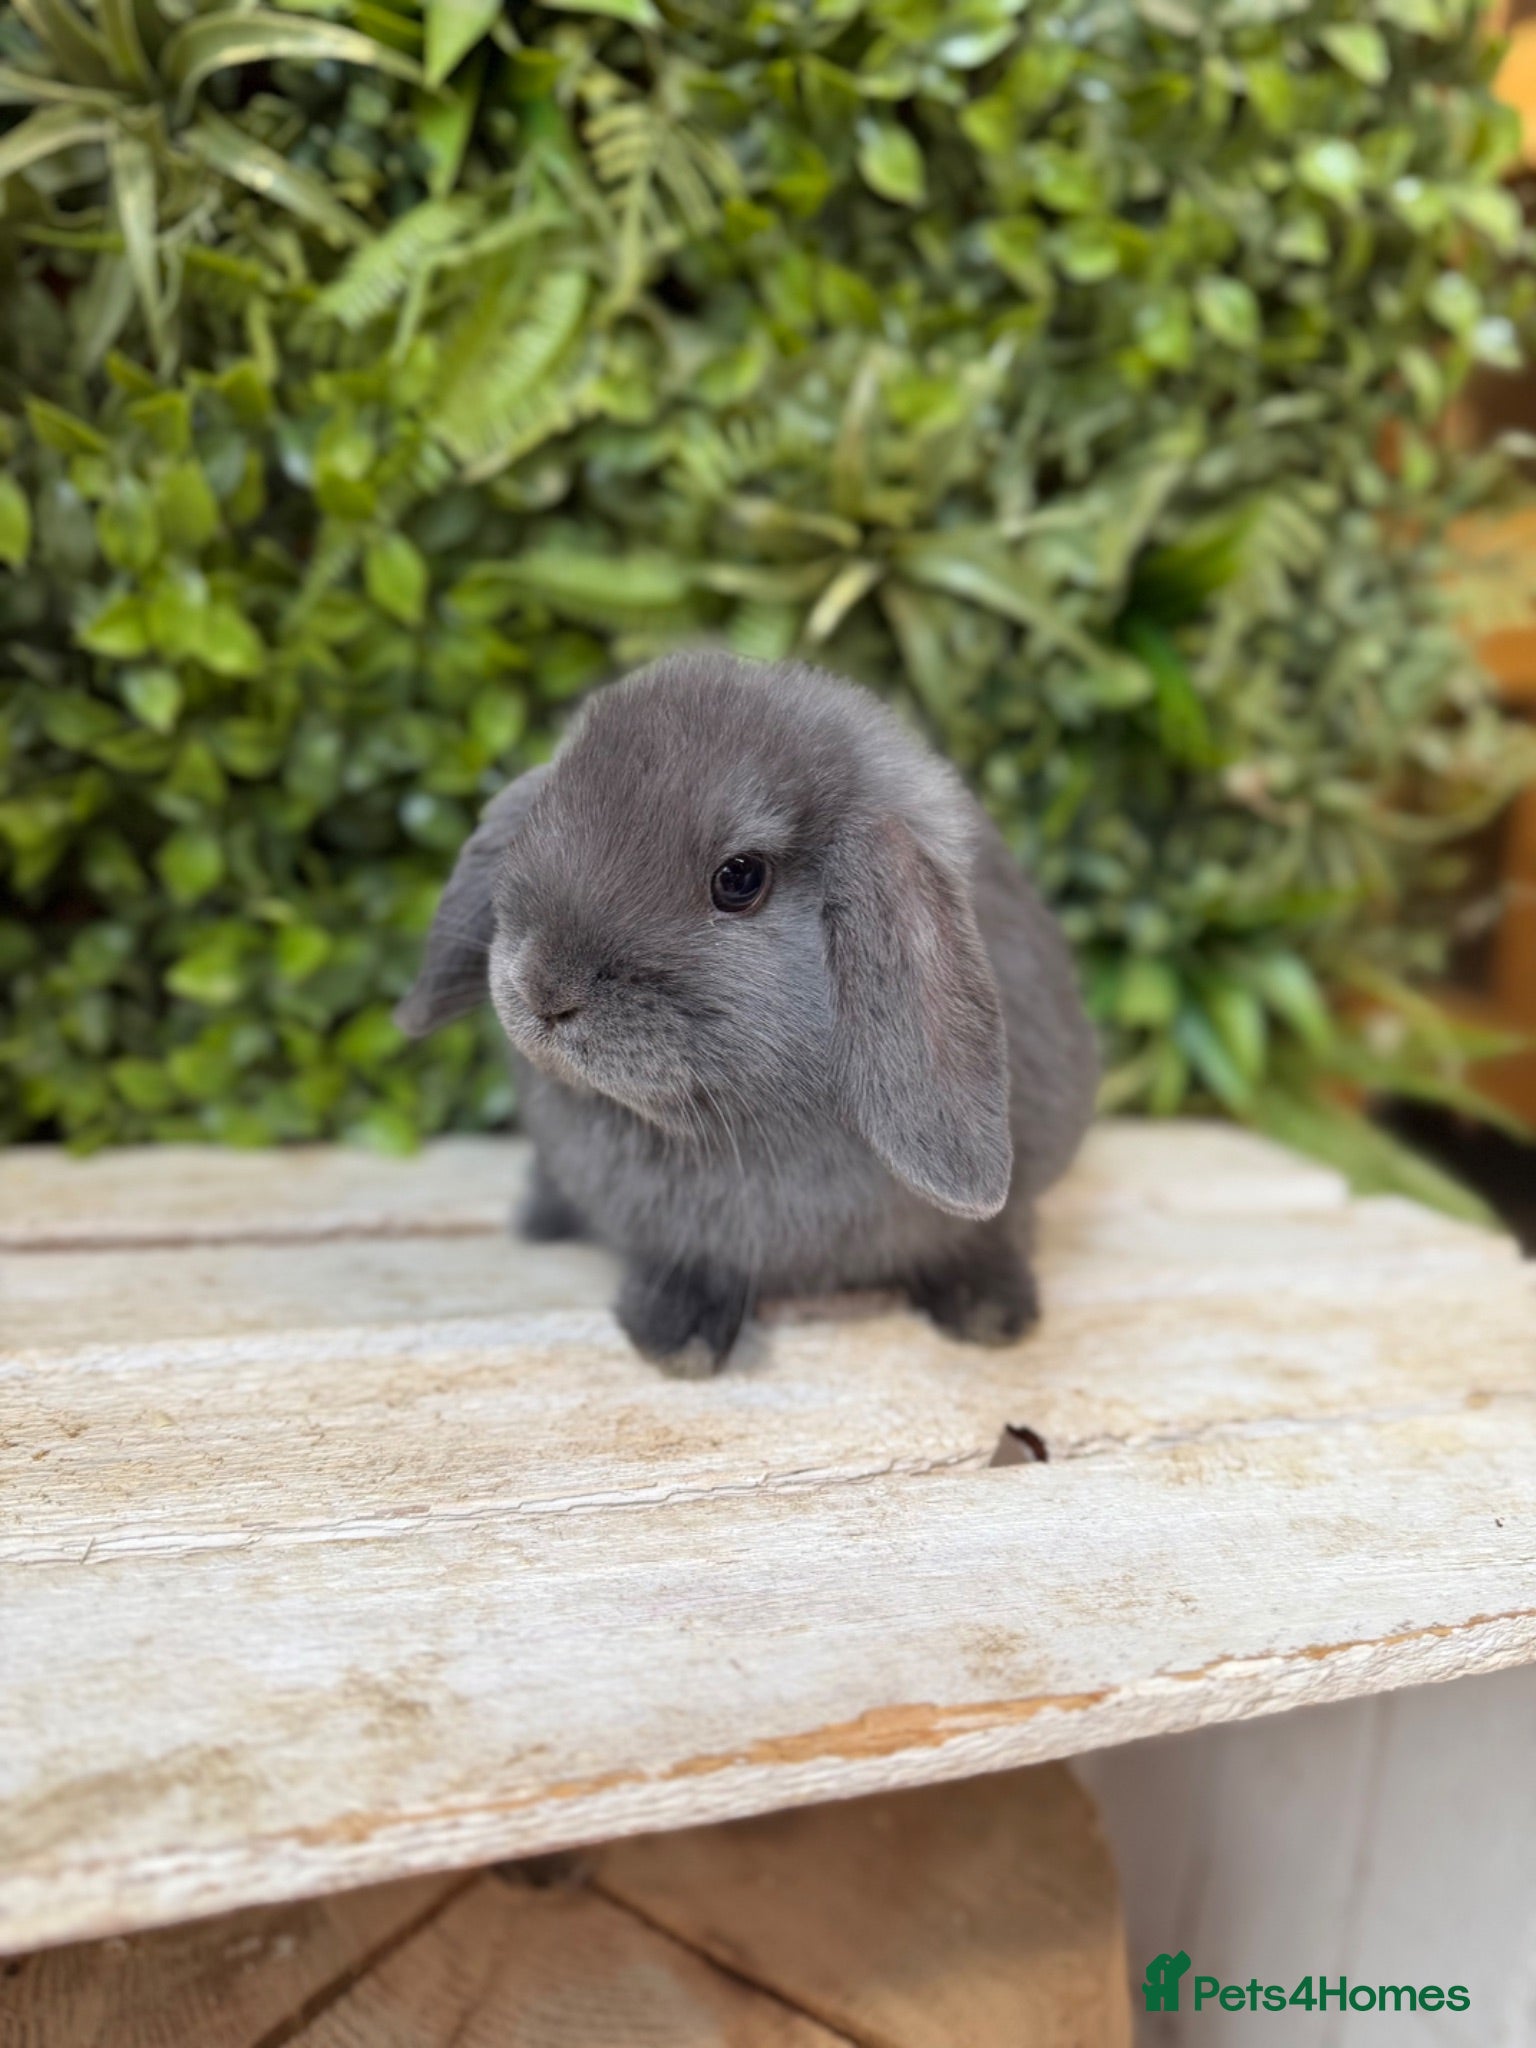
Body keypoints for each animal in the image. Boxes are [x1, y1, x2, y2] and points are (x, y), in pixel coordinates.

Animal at [395, 652, 1098, 1376]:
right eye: (539, 819)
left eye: (739, 878)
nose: (543, 989)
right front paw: (677, 1342)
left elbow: (984, 1236)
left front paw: (992, 1314)